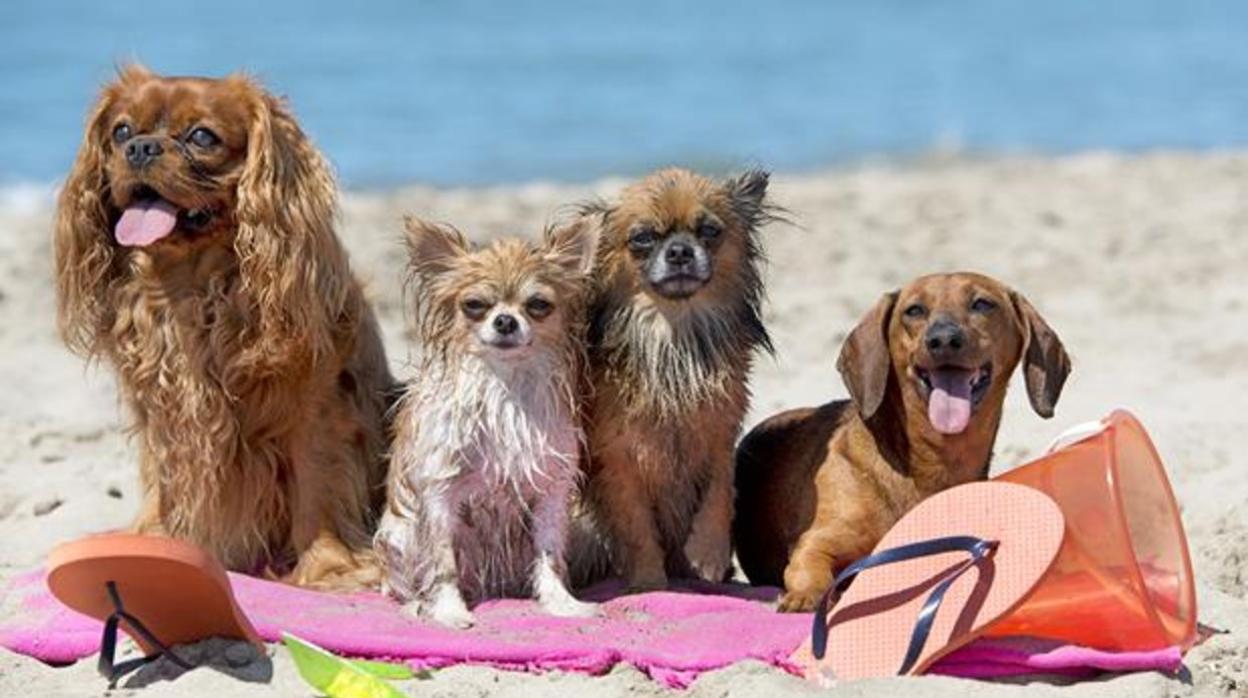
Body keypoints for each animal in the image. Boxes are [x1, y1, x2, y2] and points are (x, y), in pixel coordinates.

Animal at [53, 66, 389, 589]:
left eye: (202, 137)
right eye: (121, 132)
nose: (141, 148)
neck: (192, 285)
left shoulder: (317, 409)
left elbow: (317, 487)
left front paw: (327, 567)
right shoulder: (163, 413)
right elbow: (164, 483)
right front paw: (152, 544)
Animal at [571, 168, 768, 589]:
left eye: (709, 230)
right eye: (643, 238)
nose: (679, 251)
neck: (673, 335)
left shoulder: (720, 435)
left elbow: (719, 494)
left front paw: (708, 556)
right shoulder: (618, 460)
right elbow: (636, 525)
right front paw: (648, 582)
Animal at [728, 273, 1073, 611]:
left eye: (982, 303)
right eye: (914, 310)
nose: (943, 340)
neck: (931, 463)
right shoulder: (815, 543)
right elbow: (809, 568)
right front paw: (805, 596)